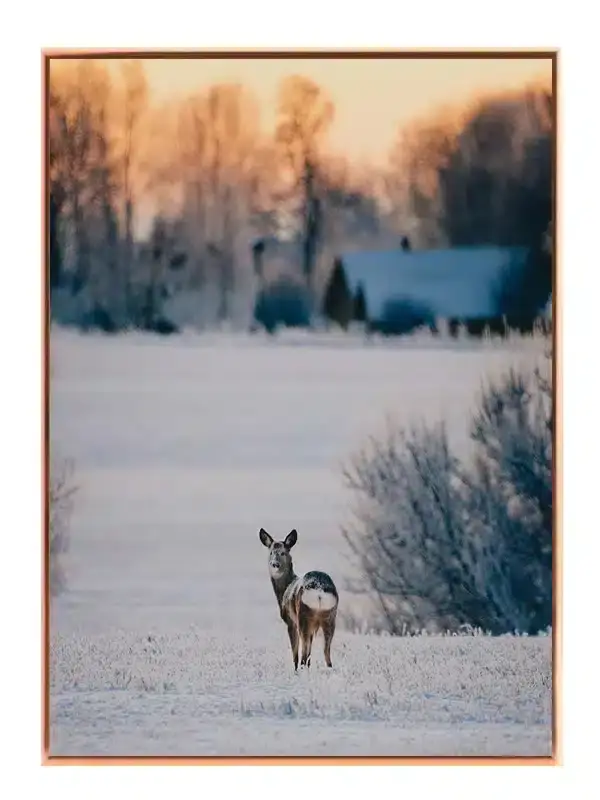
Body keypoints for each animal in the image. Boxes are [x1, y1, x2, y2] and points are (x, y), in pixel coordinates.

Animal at [259, 527, 338, 671]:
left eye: (283, 553)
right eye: (271, 552)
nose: (274, 564)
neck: (284, 589)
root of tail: (319, 593)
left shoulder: (290, 621)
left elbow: (295, 653)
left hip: (303, 616)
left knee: (303, 654)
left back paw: (301, 670)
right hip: (330, 617)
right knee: (326, 654)